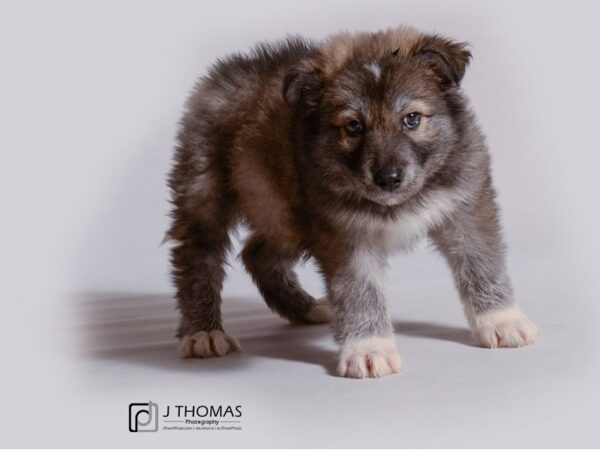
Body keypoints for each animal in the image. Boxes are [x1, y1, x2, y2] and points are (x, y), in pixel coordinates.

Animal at [164, 26, 540, 378]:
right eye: (354, 126)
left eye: (412, 118)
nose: (388, 178)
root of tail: (239, 67)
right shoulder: (346, 234)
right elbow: (360, 290)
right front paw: (369, 349)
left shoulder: (465, 205)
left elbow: (482, 264)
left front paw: (501, 320)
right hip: (206, 187)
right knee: (198, 255)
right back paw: (203, 332)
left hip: (283, 213)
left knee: (257, 253)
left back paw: (305, 308)